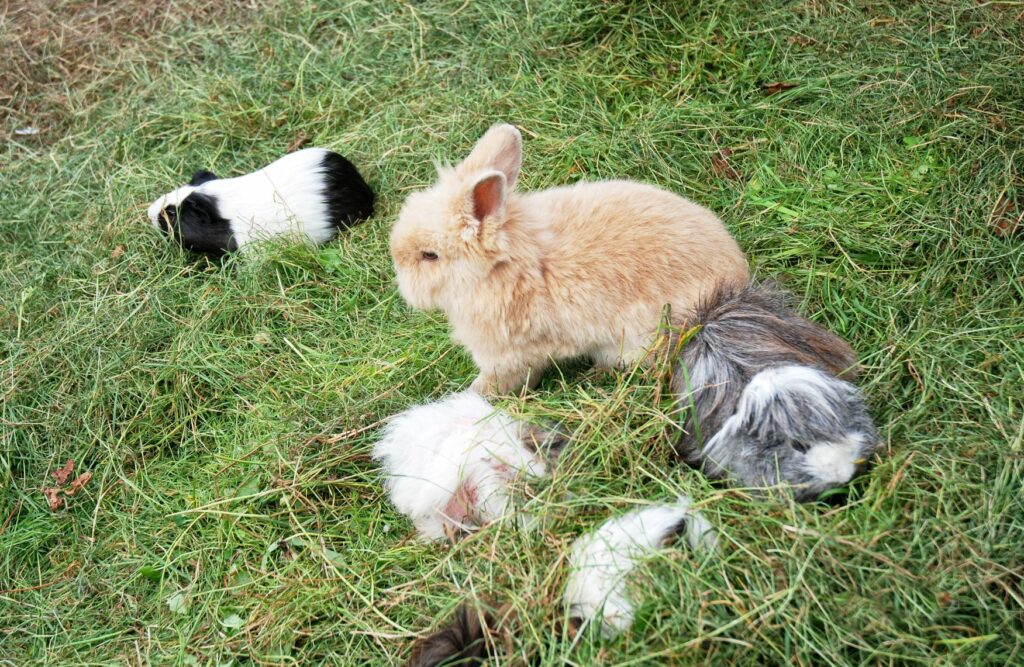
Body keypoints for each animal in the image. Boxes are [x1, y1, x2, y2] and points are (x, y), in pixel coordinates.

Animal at [387, 123, 749, 397]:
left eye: (429, 256)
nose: (401, 282)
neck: (500, 269)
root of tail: (736, 283)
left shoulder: (510, 356)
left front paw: (475, 395)